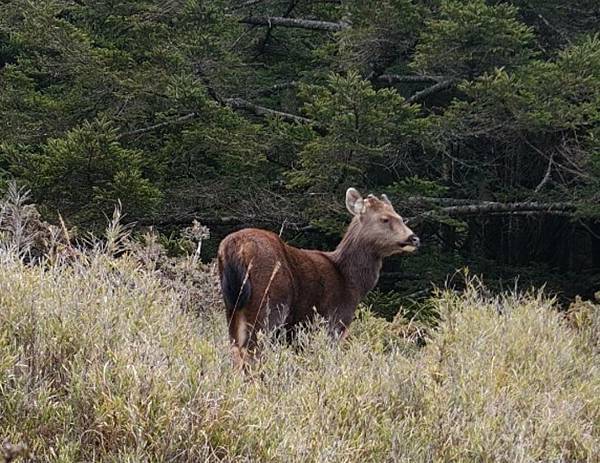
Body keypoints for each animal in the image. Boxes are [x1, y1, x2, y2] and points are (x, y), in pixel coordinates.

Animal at [218, 188, 420, 370]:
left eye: (401, 217)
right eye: (384, 218)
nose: (414, 238)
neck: (351, 282)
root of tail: (231, 248)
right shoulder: (334, 321)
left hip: (234, 307)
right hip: (269, 305)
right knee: (254, 353)